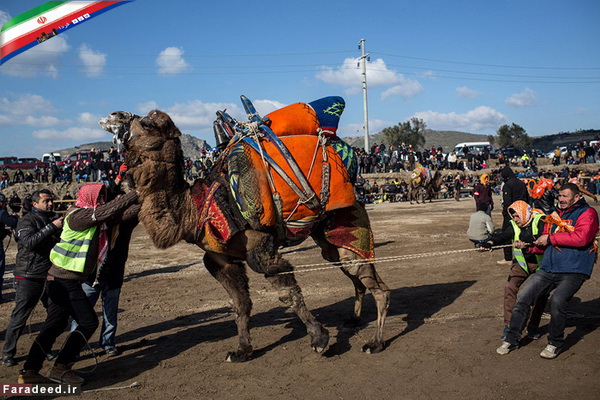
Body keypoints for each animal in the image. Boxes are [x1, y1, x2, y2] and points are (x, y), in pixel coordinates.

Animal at [99, 109, 390, 362]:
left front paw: (319, 339)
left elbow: (288, 294)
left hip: (348, 222)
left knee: (376, 285)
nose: (113, 115)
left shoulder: (260, 247)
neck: (194, 208)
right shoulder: (220, 260)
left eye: (147, 122)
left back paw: (375, 343)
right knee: (354, 274)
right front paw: (242, 351)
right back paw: (354, 320)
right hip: (328, 239)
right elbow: (239, 304)